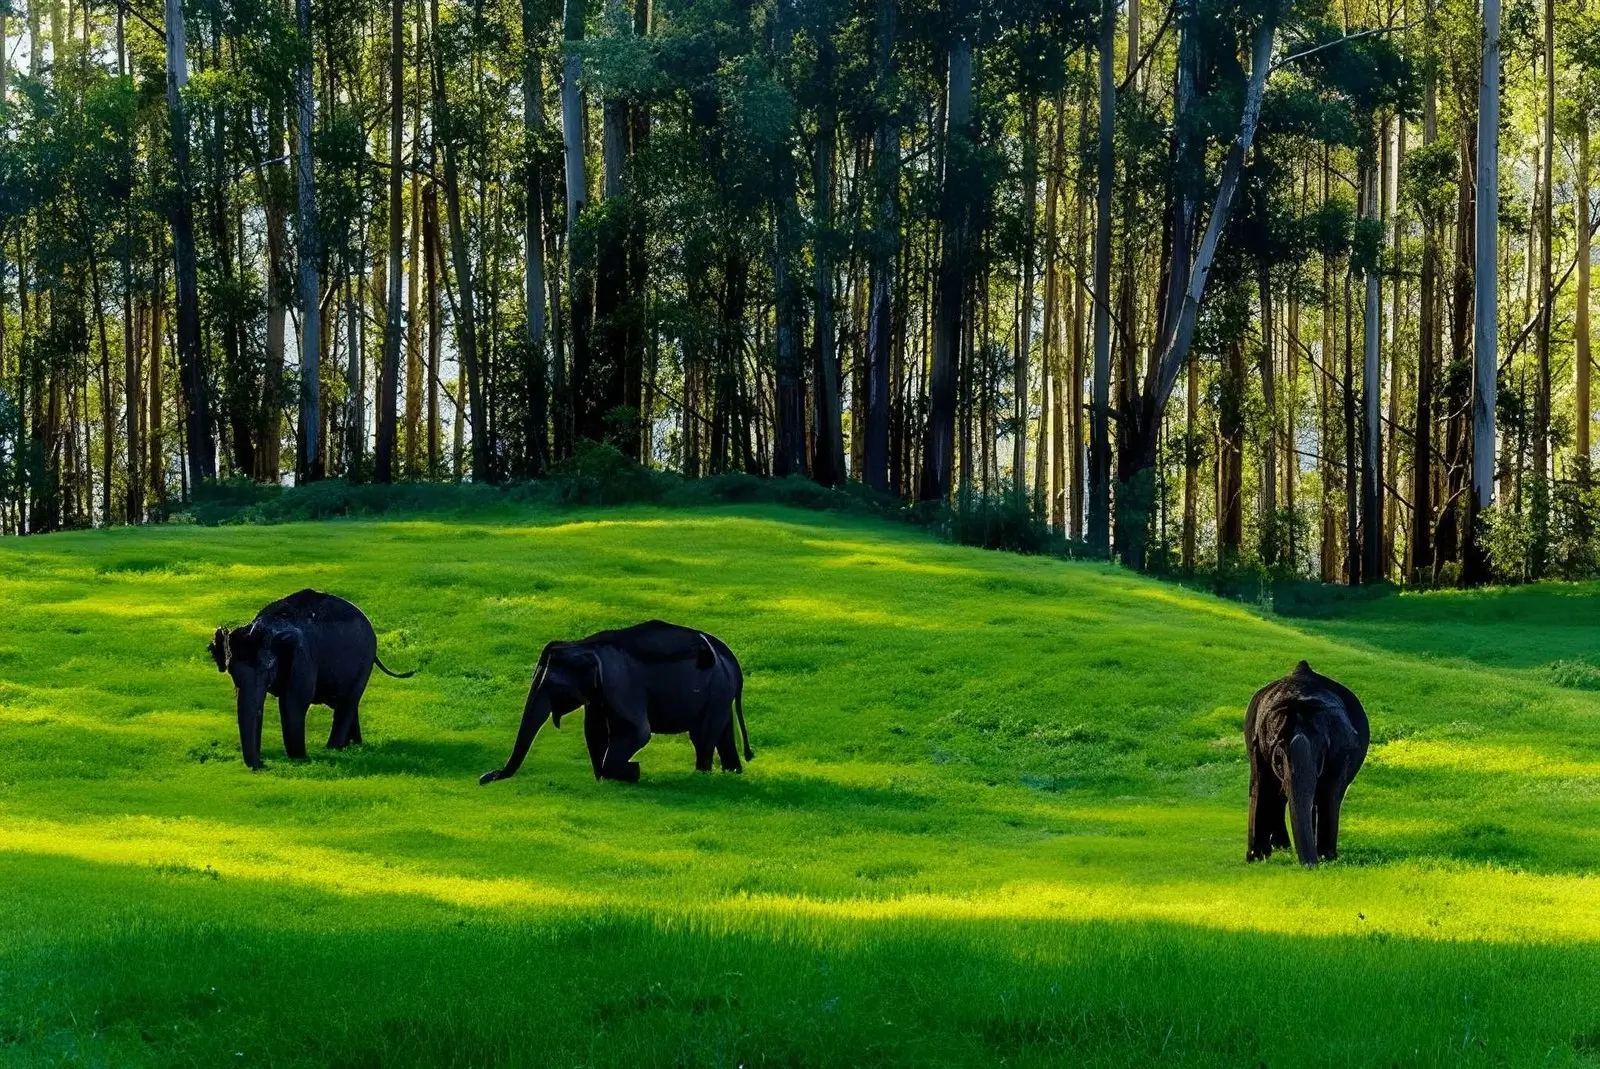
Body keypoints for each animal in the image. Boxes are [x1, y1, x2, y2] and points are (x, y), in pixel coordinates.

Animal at [208, 589, 413, 769]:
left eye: (269, 671)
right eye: (233, 674)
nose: (262, 765)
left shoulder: (302, 659)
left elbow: (293, 702)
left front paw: (299, 759)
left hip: (364, 662)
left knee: (347, 702)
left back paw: (334, 749)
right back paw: (354, 745)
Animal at [479, 620, 751, 786]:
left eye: (551, 686)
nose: (484, 777)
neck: (585, 645)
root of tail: (730, 657)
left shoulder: (621, 684)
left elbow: (638, 731)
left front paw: (634, 770)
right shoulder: (600, 693)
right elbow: (594, 731)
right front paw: (606, 778)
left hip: (716, 691)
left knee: (702, 737)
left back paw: (701, 777)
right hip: (720, 693)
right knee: (723, 734)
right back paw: (732, 774)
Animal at [1245, 660, 1370, 867]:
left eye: (1320, 754)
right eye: (1278, 757)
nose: (1311, 866)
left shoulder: (1341, 750)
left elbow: (1330, 791)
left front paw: (1327, 856)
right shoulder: (1254, 741)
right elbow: (1260, 785)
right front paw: (1256, 858)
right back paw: (1281, 848)